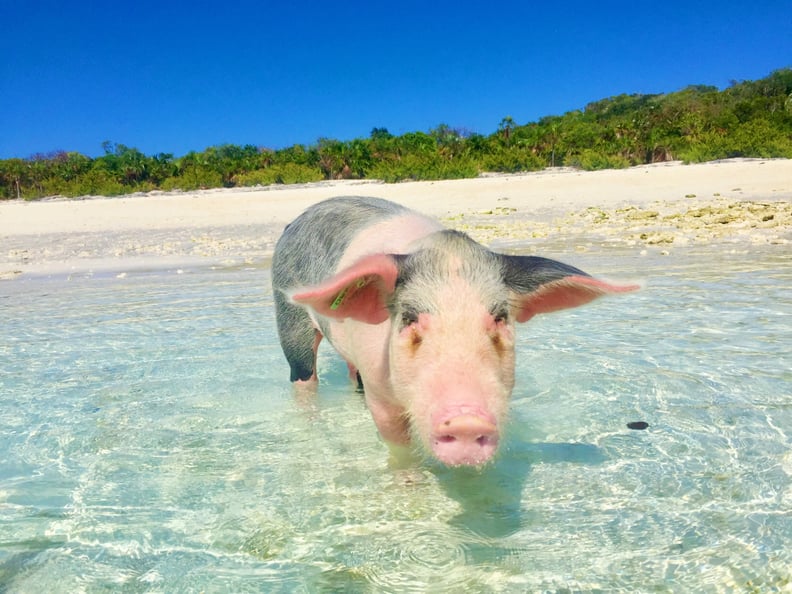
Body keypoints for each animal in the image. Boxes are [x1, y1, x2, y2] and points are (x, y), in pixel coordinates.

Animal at [272, 197, 636, 464]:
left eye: (500, 317)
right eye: (410, 317)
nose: (466, 420)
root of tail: (297, 219)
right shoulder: (380, 393)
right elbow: (399, 445)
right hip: (288, 318)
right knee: (303, 376)